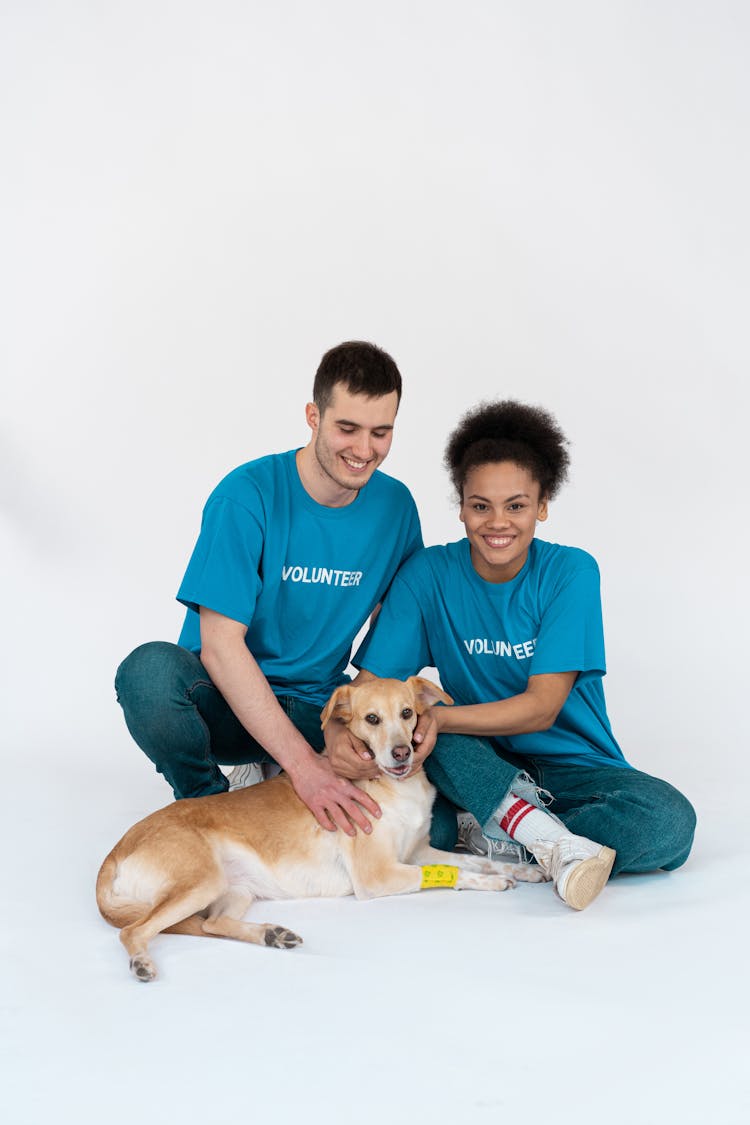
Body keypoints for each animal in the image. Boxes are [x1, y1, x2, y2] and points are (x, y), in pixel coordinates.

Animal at [98, 675, 546, 976]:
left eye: (407, 713)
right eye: (371, 719)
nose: (402, 753)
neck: (394, 787)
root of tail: (117, 849)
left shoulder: (418, 850)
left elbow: (478, 861)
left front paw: (525, 871)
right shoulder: (378, 875)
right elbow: (452, 873)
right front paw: (492, 883)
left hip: (233, 888)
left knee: (211, 923)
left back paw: (271, 935)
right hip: (200, 880)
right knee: (135, 931)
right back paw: (141, 962)